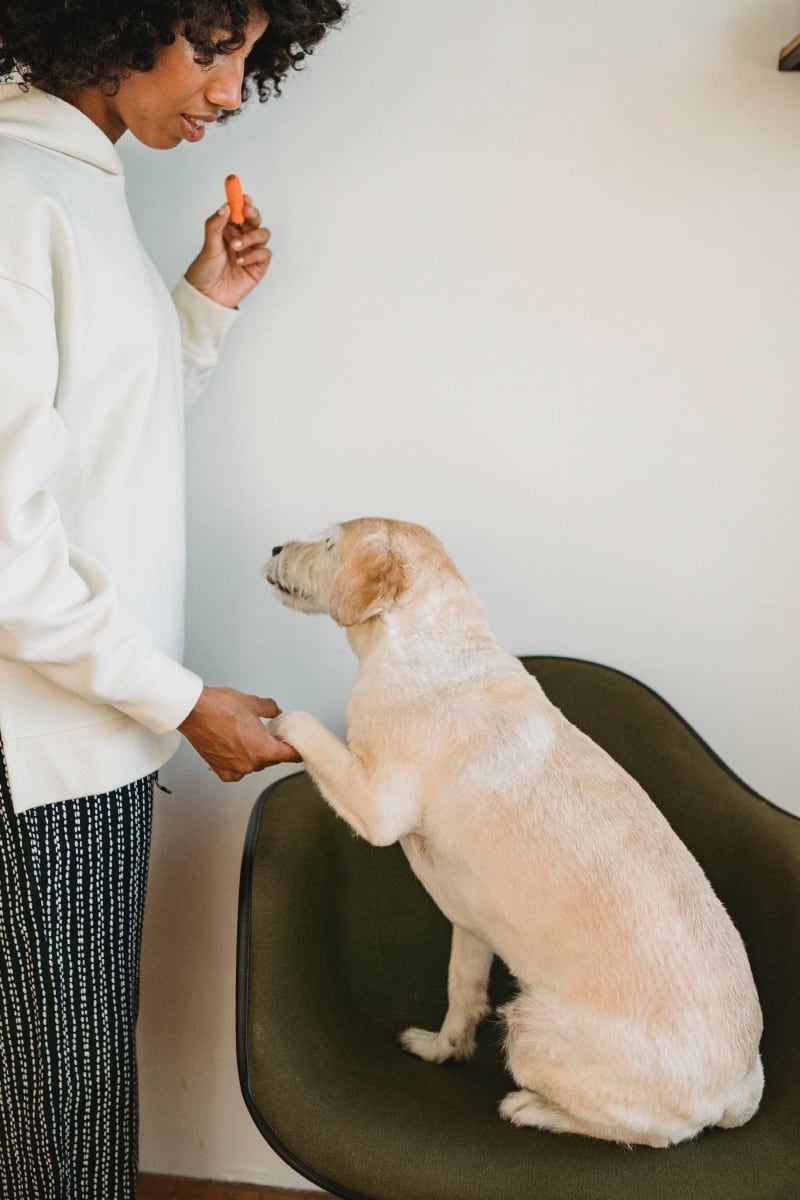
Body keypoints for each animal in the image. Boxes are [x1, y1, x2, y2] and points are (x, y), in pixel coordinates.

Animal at [263, 520, 762, 1147]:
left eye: (329, 543)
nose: (273, 547)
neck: (438, 646)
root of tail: (740, 1088)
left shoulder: (377, 807)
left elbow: (302, 723)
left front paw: (273, 718)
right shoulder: (469, 928)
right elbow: (462, 995)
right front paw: (442, 1049)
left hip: (528, 1027)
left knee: (647, 1136)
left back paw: (530, 1108)